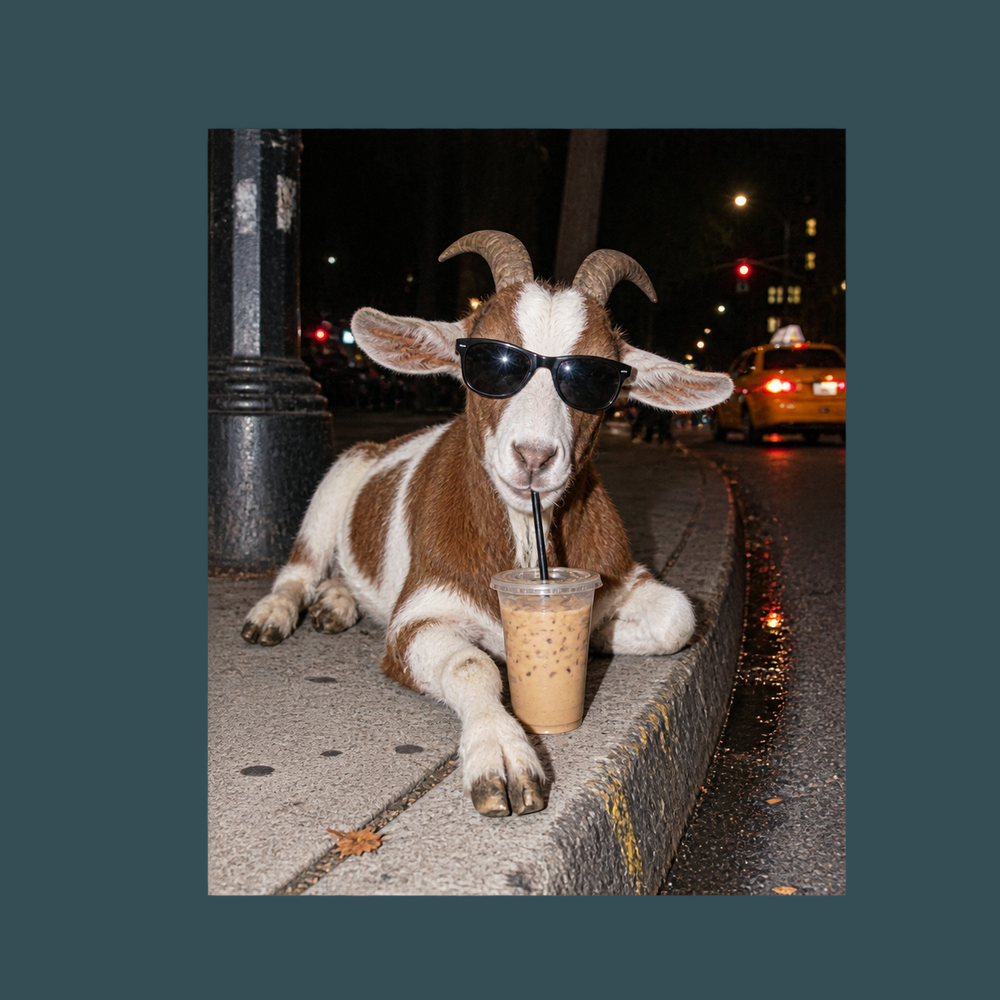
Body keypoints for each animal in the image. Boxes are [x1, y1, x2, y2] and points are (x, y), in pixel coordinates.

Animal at [242, 231, 734, 817]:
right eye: (488, 359)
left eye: (598, 377)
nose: (534, 457)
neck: (522, 536)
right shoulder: (419, 616)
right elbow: (469, 666)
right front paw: (500, 756)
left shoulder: (622, 576)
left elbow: (677, 619)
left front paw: (590, 640)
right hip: (337, 478)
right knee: (301, 564)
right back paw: (276, 613)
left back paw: (337, 602)